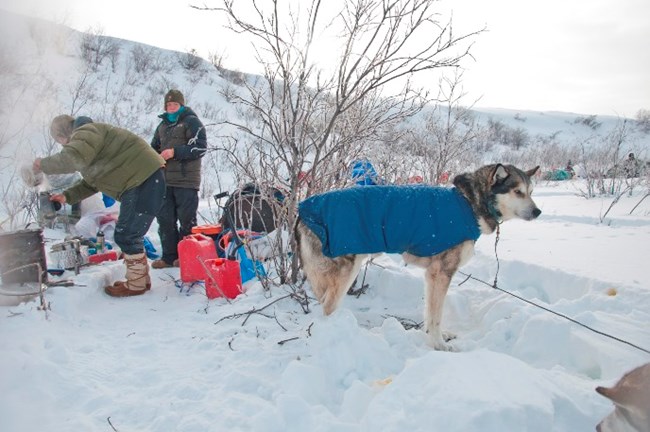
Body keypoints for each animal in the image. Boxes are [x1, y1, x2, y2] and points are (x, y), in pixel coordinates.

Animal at [296, 164, 540, 350]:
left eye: (531, 191)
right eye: (517, 192)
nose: (538, 212)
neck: (470, 204)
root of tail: (304, 210)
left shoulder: (431, 276)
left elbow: (430, 312)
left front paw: (437, 335)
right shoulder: (441, 274)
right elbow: (436, 315)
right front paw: (438, 345)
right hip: (348, 269)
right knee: (328, 305)